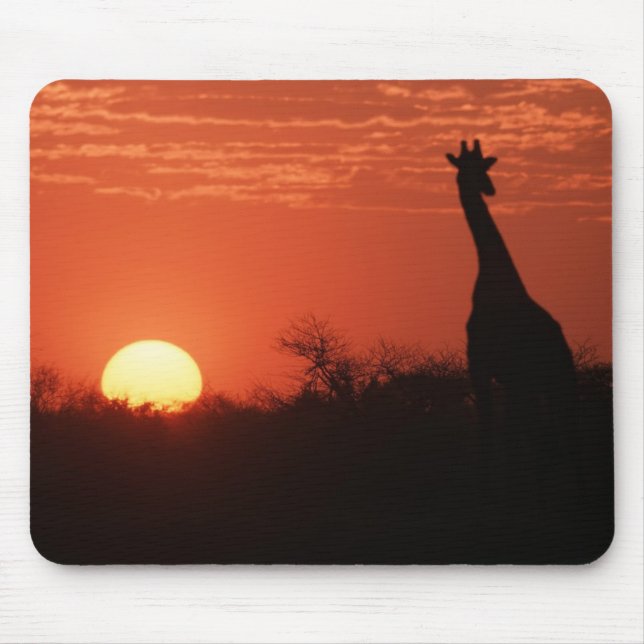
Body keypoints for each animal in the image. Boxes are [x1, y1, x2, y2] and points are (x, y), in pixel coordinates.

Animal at [446, 140, 577, 462]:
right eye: (469, 168)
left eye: (484, 167)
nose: (489, 188)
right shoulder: (494, 375)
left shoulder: (483, 367)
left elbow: (493, 437)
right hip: (549, 383)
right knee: (556, 439)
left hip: (539, 381)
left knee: (550, 440)